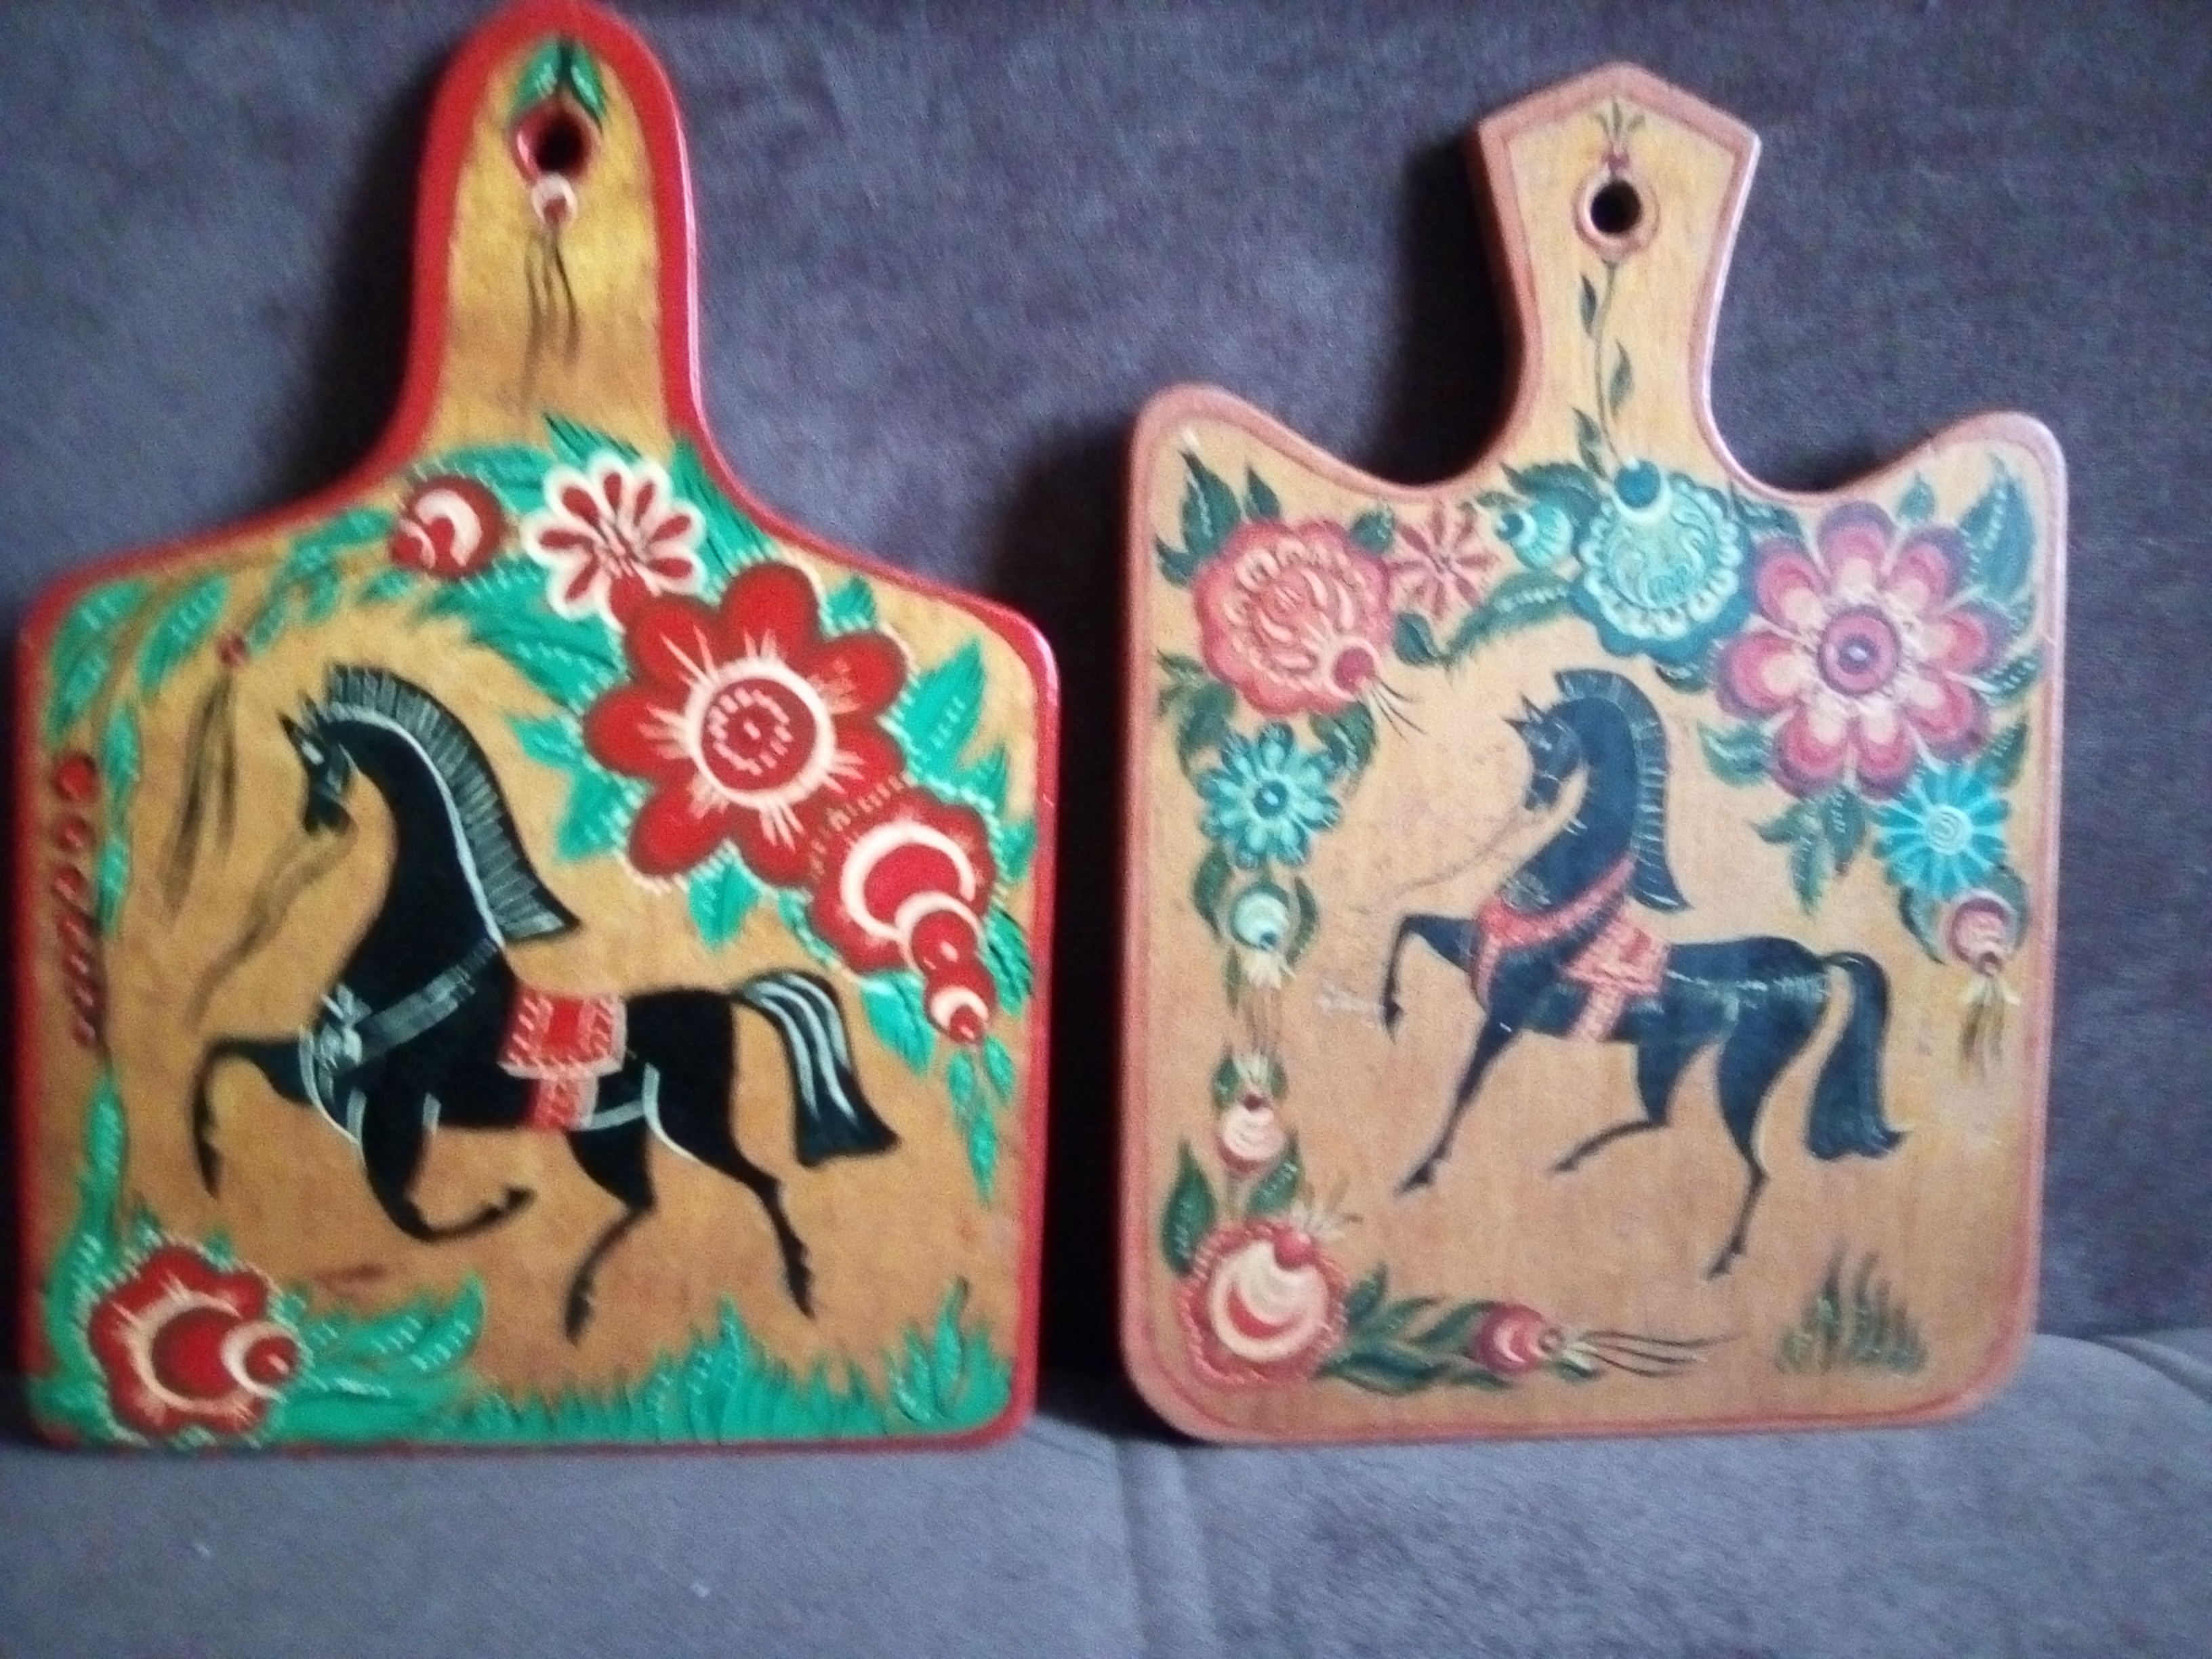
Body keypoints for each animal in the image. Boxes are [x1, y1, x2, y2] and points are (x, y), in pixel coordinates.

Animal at [189, 665, 897, 1339]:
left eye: (320, 759)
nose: (320, 819)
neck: (425, 949)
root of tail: (722, 996)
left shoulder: (397, 1107)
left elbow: (408, 1214)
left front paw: (507, 1203)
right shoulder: (323, 1075)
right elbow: (222, 1057)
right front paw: (211, 1161)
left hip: (686, 1120)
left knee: (760, 1182)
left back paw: (798, 1284)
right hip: (606, 1132)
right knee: (642, 1203)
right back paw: (579, 1306)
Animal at [1377, 669, 1899, 1278]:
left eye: (1553, 743)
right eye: (1528, 745)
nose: (1536, 799)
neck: (1559, 893)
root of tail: (1815, 965)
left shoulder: (1508, 1012)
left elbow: (1466, 1083)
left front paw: (1422, 1170)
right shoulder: (1470, 956)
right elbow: (1409, 923)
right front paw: (1390, 1014)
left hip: (1744, 1072)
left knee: (1755, 1164)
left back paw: (1720, 1260)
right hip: (1665, 1053)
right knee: (1659, 1116)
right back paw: (1571, 1158)